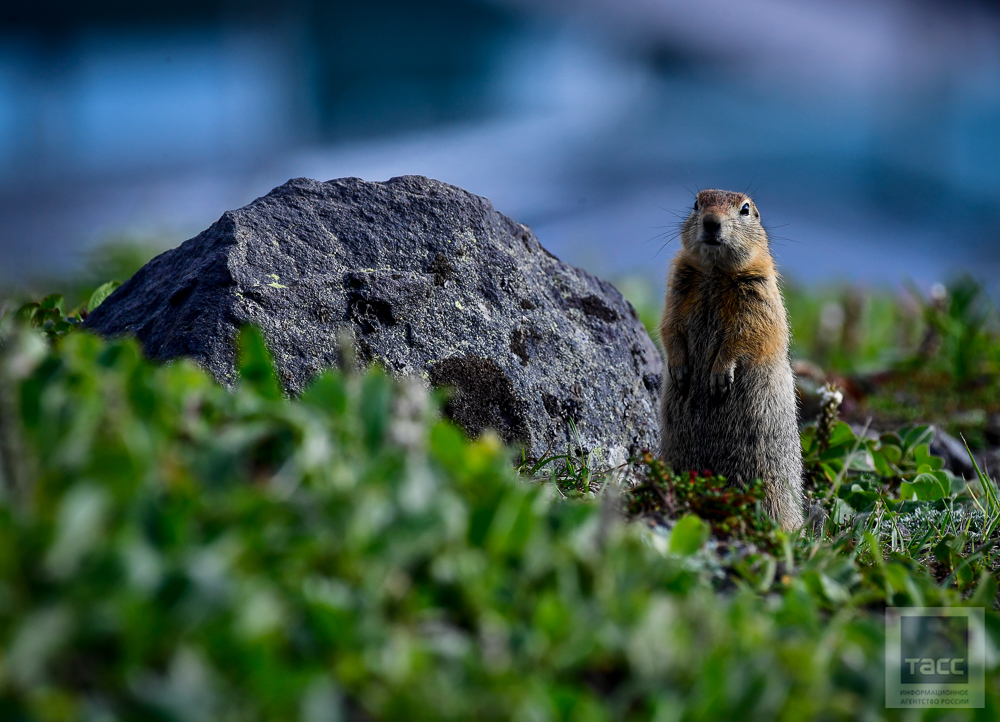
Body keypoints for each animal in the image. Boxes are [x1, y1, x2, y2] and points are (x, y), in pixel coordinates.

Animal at [660, 190, 808, 528]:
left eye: (745, 209)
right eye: (696, 204)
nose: (711, 222)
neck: (714, 273)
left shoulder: (759, 291)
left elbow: (748, 334)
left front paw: (719, 374)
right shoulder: (677, 283)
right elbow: (670, 326)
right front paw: (679, 369)